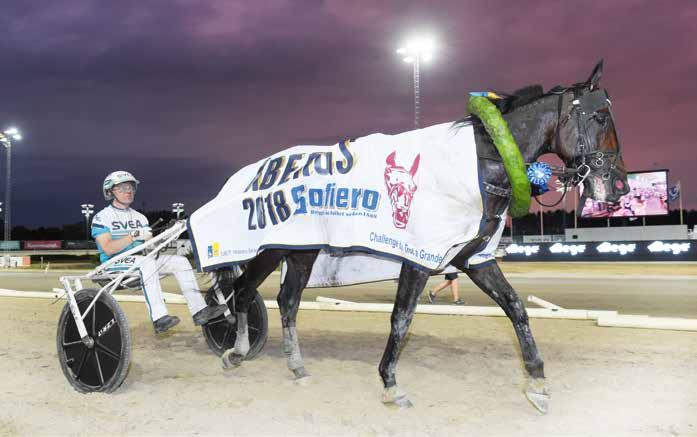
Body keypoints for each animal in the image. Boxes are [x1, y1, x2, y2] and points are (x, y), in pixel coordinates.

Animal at [211, 60, 624, 412]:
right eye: (600, 116)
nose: (619, 185)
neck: (474, 165)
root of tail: (253, 174)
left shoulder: (474, 258)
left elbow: (516, 308)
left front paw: (537, 382)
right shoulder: (418, 256)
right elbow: (402, 317)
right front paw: (390, 383)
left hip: (301, 252)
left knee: (286, 300)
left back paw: (293, 365)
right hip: (271, 247)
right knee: (245, 291)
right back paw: (236, 349)